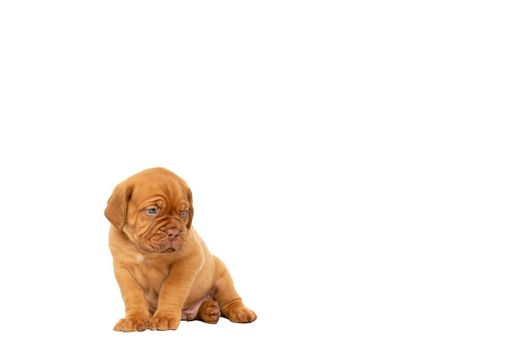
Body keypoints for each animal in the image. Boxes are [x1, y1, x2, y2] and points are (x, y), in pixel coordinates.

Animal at [104, 168, 256, 332]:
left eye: (184, 213)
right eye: (152, 210)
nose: (174, 232)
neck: (144, 251)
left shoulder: (188, 260)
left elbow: (171, 289)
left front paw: (164, 317)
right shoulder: (123, 269)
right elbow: (133, 296)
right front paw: (134, 319)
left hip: (222, 277)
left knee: (231, 299)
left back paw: (238, 311)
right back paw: (209, 310)